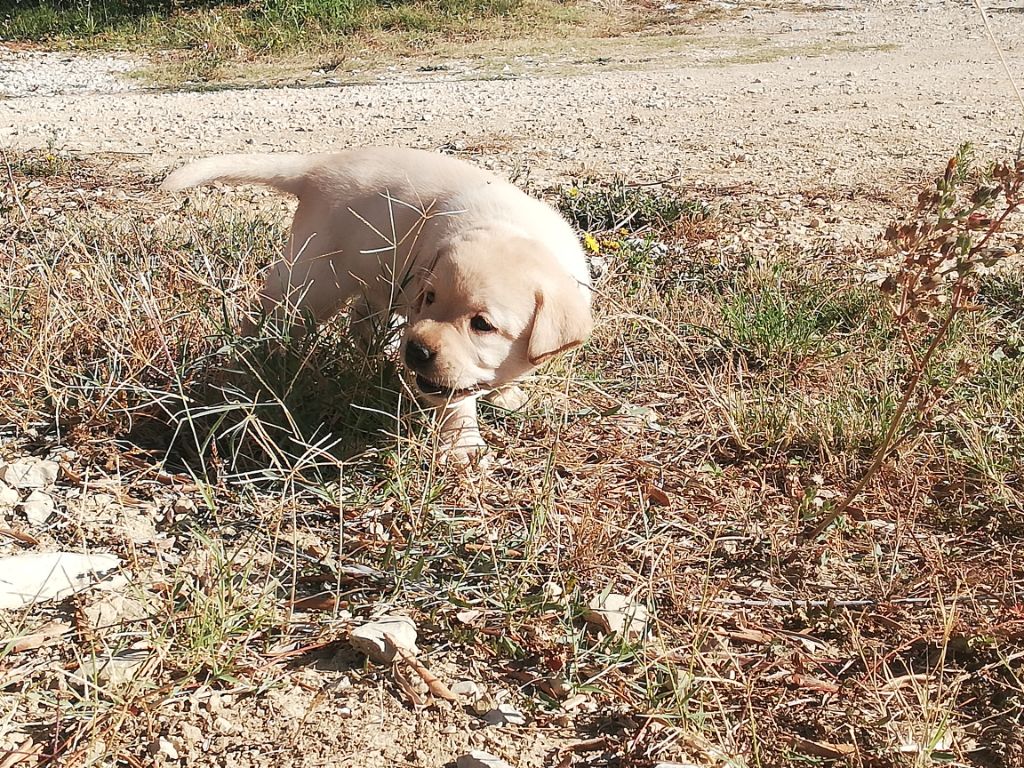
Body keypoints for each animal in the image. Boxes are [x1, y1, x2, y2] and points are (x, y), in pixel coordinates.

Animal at [159, 149, 593, 460]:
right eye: (429, 298)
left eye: (482, 325)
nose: (416, 351)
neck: (517, 230)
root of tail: (318, 167)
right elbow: (455, 399)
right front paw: (463, 446)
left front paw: (507, 394)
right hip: (313, 281)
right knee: (267, 316)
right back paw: (249, 362)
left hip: (376, 284)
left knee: (360, 324)